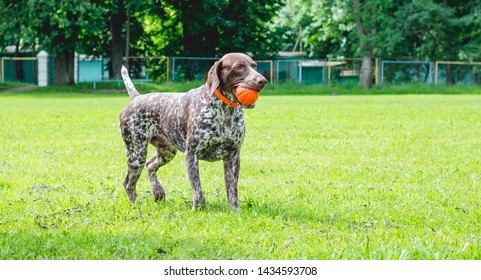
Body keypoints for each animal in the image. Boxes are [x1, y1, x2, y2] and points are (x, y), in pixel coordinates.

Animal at [117, 53, 266, 210]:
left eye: (254, 66)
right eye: (238, 67)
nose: (262, 81)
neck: (225, 110)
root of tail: (137, 98)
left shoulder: (233, 156)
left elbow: (232, 190)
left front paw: (234, 210)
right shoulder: (191, 154)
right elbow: (197, 190)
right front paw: (197, 209)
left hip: (167, 152)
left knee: (150, 166)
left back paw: (158, 192)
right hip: (136, 154)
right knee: (128, 183)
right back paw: (135, 206)